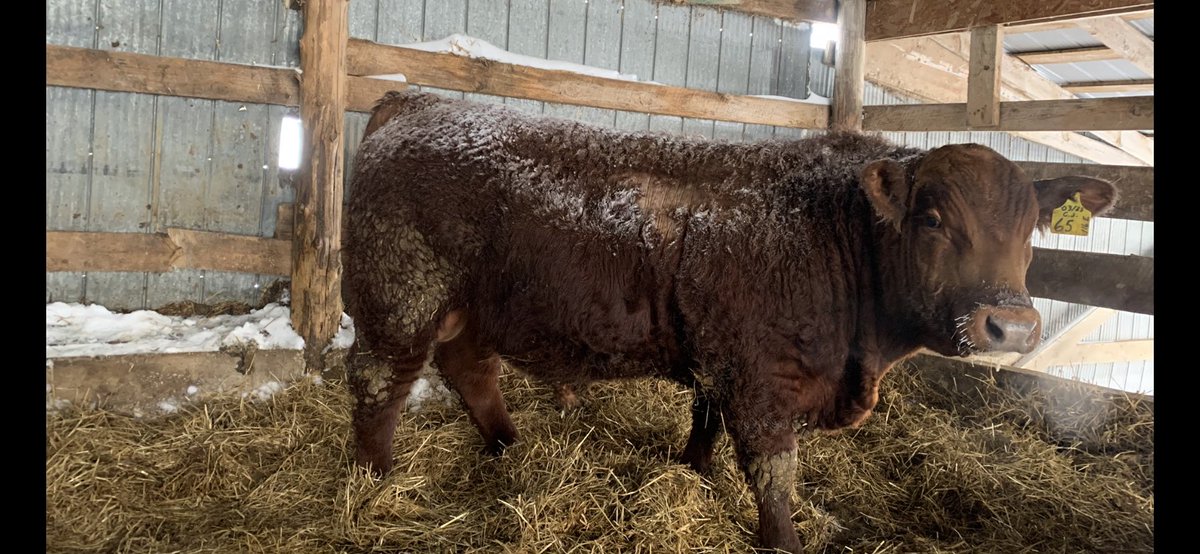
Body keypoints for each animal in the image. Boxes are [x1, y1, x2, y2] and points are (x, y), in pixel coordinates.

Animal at [341, 90, 1117, 552]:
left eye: (1032, 228)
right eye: (931, 219)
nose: (1009, 327)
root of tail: (416, 101)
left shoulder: (721, 359)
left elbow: (704, 422)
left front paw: (693, 470)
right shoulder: (760, 377)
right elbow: (773, 473)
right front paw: (782, 539)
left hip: (471, 307)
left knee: (470, 369)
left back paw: (508, 446)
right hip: (400, 295)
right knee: (380, 381)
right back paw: (375, 479)